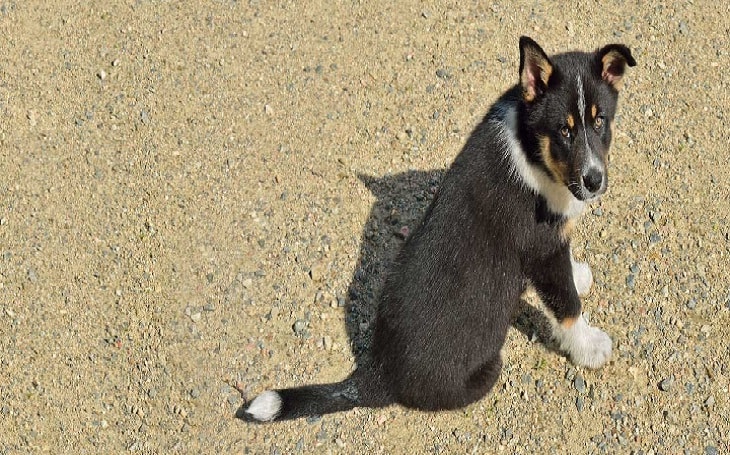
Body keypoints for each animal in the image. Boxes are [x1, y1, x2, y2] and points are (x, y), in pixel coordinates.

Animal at [239, 37, 632, 422]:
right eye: (564, 130)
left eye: (600, 121)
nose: (594, 181)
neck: (530, 146)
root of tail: (377, 375)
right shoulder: (541, 248)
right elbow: (567, 305)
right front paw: (590, 347)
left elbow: (566, 275)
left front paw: (577, 275)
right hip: (487, 370)